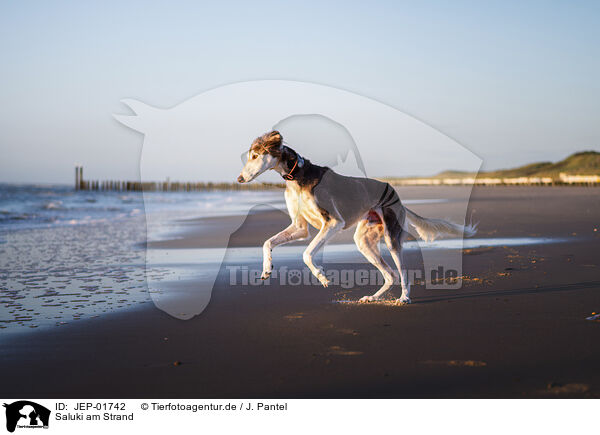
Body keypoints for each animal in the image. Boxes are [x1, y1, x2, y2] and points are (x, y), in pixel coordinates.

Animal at [237, 131, 476, 304]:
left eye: (255, 156)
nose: (239, 179)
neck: (297, 177)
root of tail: (396, 195)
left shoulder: (333, 222)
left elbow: (307, 254)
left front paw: (321, 276)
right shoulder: (299, 227)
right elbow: (267, 242)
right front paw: (267, 269)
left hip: (391, 238)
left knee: (402, 273)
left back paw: (404, 298)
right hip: (364, 241)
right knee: (391, 275)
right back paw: (372, 298)